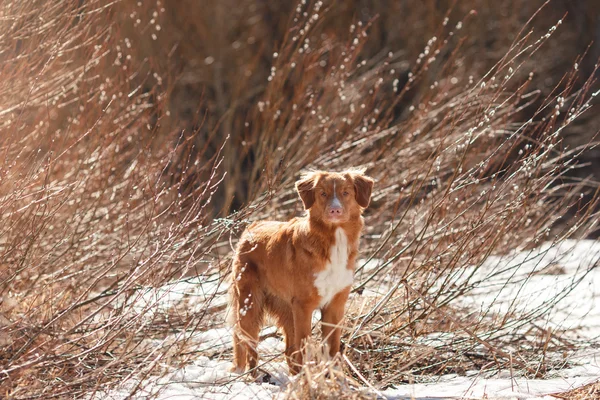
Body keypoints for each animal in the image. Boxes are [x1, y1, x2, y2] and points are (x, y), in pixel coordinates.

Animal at [229, 169, 372, 376]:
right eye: (322, 193)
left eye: (346, 192)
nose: (335, 210)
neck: (333, 241)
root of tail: (251, 228)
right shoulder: (304, 306)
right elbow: (304, 345)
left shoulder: (335, 305)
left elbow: (332, 347)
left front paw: (333, 376)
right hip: (250, 304)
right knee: (247, 342)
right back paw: (249, 374)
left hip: (287, 308)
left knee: (288, 349)